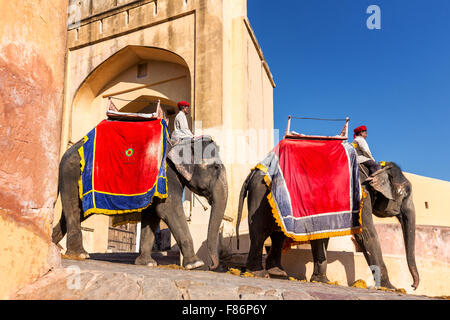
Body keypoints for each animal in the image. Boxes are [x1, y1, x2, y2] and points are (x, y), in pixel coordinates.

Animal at [53, 136, 229, 272]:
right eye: (215, 167)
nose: (212, 266)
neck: (179, 143)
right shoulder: (167, 176)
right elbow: (168, 209)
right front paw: (195, 264)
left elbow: (153, 214)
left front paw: (147, 263)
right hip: (71, 172)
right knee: (74, 209)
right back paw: (79, 254)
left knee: (76, 212)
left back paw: (55, 245)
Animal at [237, 162, 420, 290]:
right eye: (406, 194)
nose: (413, 286)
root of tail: (252, 172)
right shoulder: (361, 194)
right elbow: (367, 234)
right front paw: (391, 288)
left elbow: (323, 234)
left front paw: (322, 281)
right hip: (260, 195)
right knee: (260, 233)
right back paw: (259, 273)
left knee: (277, 235)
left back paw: (278, 274)